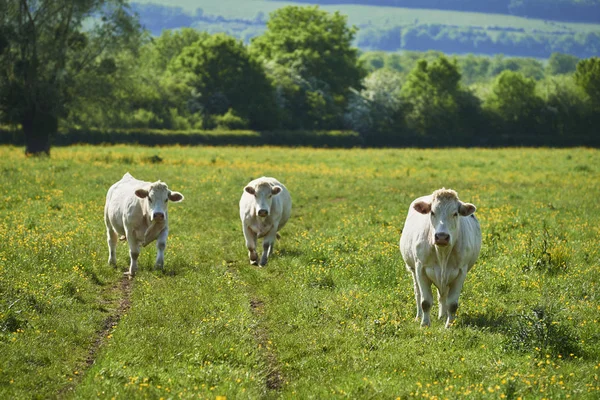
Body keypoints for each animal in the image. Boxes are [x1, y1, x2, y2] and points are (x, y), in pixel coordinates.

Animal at [400, 188, 480, 328]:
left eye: (455, 213)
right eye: (432, 212)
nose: (442, 236)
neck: (442, 254)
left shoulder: (461, 272)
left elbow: (452, 304)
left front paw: (449, 325)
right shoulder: (420, 269)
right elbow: (425, 302)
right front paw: (424, 324)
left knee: (443, 296)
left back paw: (442, 316)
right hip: (413, 271)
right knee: (418, 293)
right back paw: (418, 316)